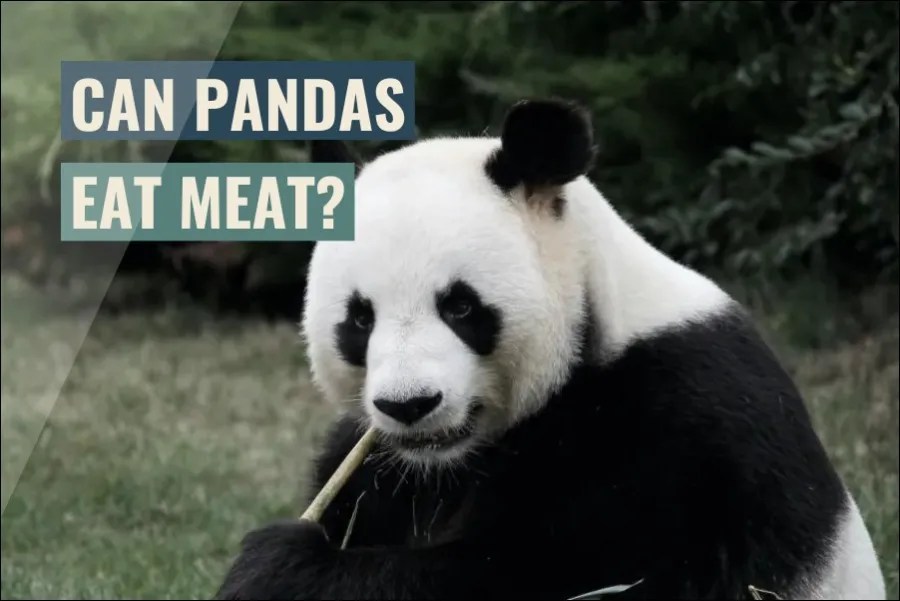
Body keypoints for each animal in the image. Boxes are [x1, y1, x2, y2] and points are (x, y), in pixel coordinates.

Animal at [214, 99, 886, 600]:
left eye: (461, 307)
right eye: (359, 319)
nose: (410, 405)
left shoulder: (672, 435)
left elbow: (546, 573)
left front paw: (278, 567)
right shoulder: (380, 465)